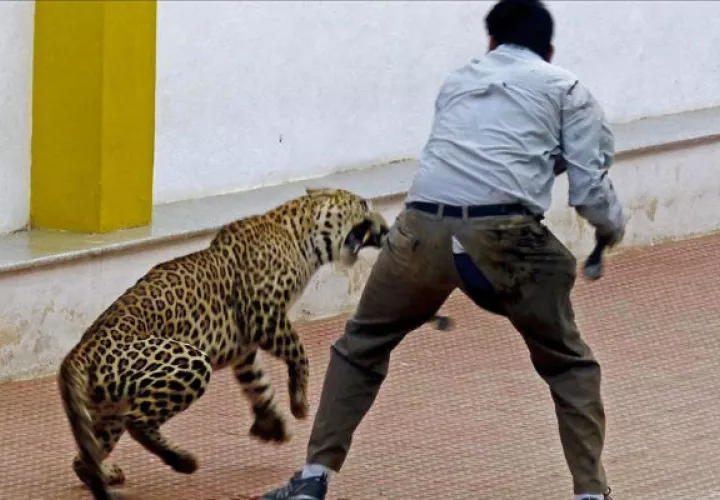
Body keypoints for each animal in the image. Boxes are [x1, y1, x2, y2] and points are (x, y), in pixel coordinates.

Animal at [57, 187, 391, 500]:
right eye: (363, 205)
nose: (386, 229)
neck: (300, 236)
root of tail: (77, 354)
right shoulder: (264, 316)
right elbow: (299, 352)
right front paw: (299, 403)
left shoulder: (245, 345)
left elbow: (257, 382)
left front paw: (272, 424)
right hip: (188, 363)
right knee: (137, 423)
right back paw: (183, 461)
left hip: (108, 409)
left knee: (85, 455)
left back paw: (104, 472)